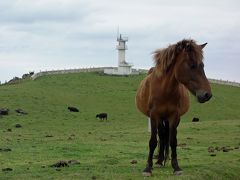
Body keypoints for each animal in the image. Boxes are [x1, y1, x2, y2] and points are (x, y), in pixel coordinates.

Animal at [135, 39, 212, 176]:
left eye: (202, 65)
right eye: (192, 65)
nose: (207, 95)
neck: (164, 89)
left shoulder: (174, 116)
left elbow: (173, 141)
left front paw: (176, 167)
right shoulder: (154, 116)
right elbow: (153, 141)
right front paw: (148, 168)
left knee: (166, 136)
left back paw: (161, 160)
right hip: (160, 119)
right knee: (161, 135)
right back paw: (159, 161)